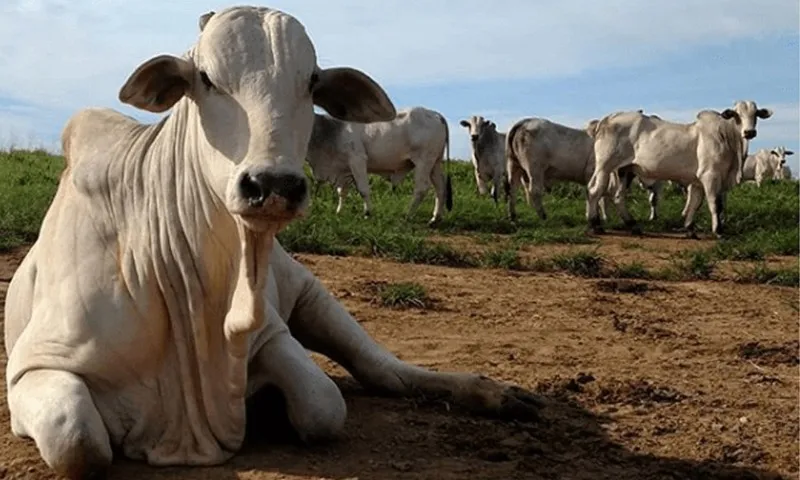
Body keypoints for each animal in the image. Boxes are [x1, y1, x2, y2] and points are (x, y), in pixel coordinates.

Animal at [306, 107, 454, 223]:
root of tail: (436, 114)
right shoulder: (343, 169)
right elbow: (342, 192)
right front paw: (339, 212)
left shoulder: (357, 159)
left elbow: (363, 190)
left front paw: (368, 213)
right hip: (434, 163)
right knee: (440, 187)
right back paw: (435, 218)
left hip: (423, 162)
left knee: (421, 188)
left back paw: (407, 215)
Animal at [584, 108, 748, 237]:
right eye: (738, 116)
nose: (749, 132)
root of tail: (606, 119)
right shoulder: (710, 176)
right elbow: (715, 204)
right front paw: (718, 230)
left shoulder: (698, 181)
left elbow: (695, 203)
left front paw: (690, 229)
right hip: (605, 166)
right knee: (594, 190)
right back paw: (595, 224)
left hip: (625, 170)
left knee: (617, 196)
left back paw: (633, 225)